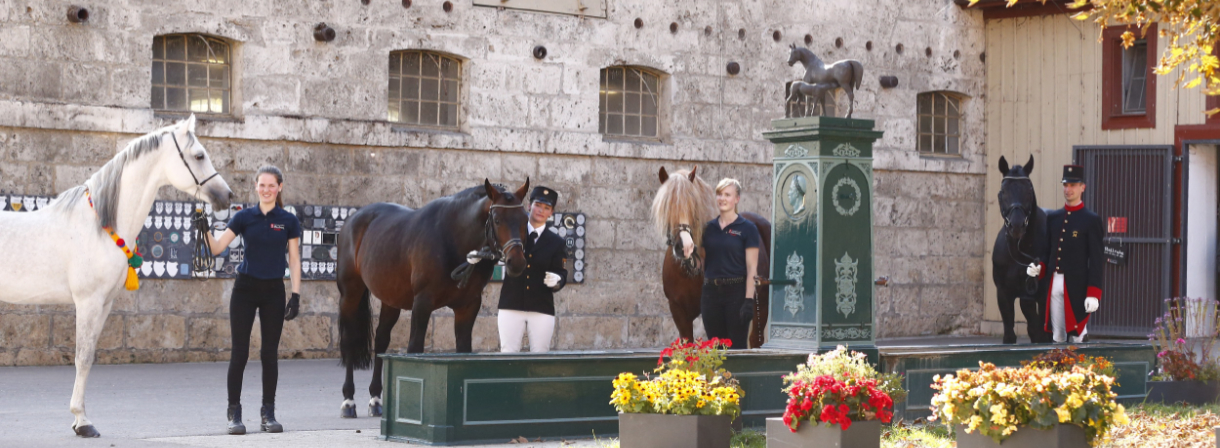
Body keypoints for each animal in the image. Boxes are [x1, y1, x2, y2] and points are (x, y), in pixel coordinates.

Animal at [0, 114, 233, 439]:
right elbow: (82, 357)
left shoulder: (104, 304)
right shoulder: (87, 302)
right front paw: (83, 421)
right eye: (199, 155)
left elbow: (89, 357)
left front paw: (79, 420)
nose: (227, 196)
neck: (99, 226)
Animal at [334, 178, 529, 417]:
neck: (453, 239)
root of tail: (354, 218)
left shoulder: (468, 306)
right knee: (349, 340)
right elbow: (414, 347)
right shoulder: (422, 303)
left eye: (525, 219)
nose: (516, 262)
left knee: (381, 340)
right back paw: (348, 400)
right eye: (498, 220)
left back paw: (376, 399)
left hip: (391, 298)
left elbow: (464, 348)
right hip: (350, 294)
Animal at [649, 167, 771, 349]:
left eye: (693, 205)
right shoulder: (679, 312)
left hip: (761, 304)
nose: (684, 247)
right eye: (666, 206)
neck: (689, 271)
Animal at [990, 156, 1049, 346]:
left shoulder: (1042, 295)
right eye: (1002, 191)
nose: (1016, 226)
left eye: (1029, 191)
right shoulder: (1003, 294)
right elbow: (1010, 334)